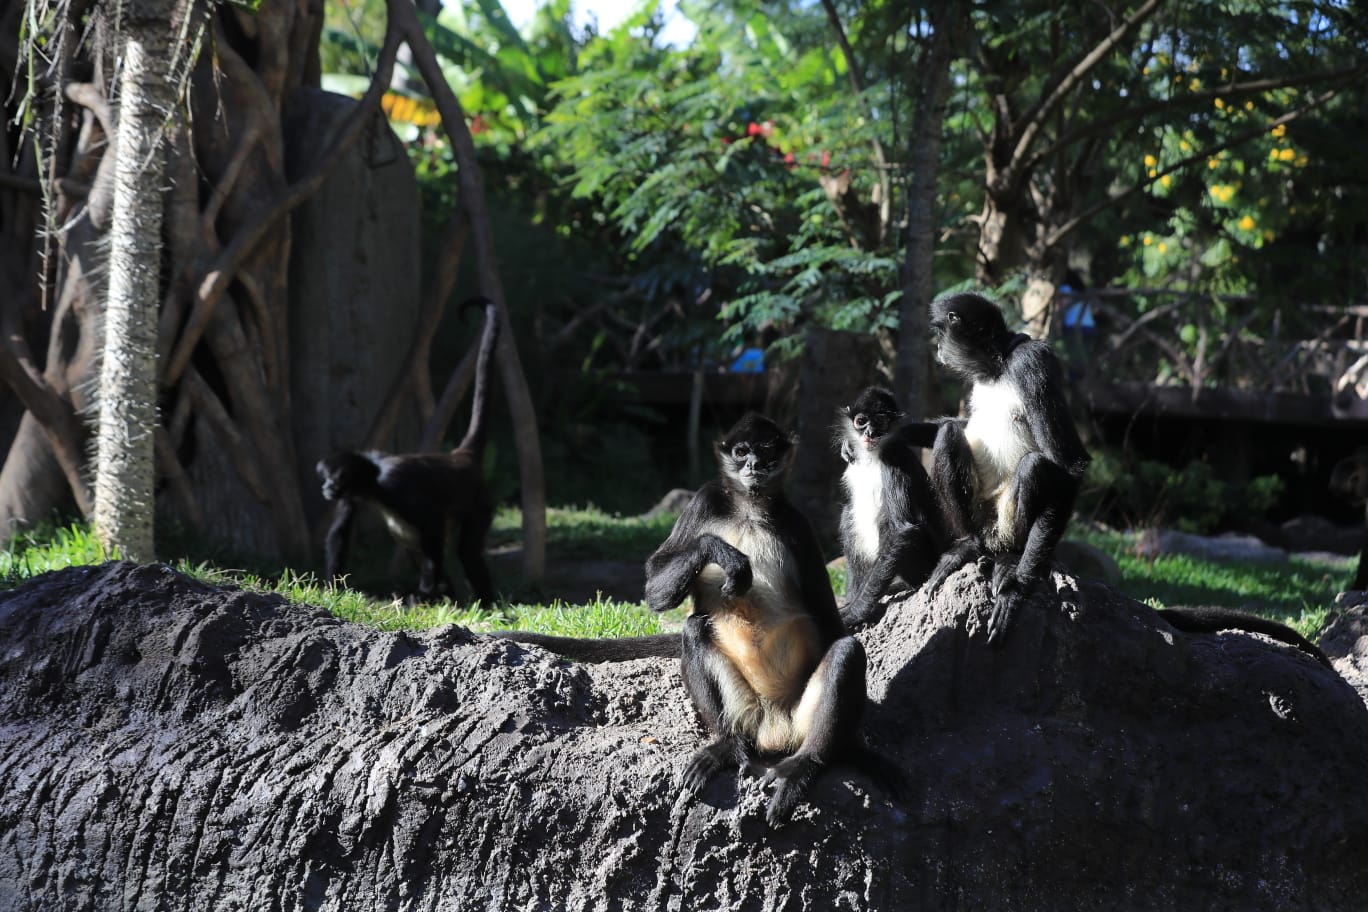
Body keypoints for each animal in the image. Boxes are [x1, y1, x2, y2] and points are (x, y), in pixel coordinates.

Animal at [316, 296, 500, 603]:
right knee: (413, 541)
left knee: (465, 551)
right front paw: (332, 589)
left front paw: (426, 589)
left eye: (334, 477)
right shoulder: (355, 494)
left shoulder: (396, 487)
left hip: (478, 503)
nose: (326, 487)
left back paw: (480, 602)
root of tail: (460, 457)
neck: (374, 475)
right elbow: (340, 531)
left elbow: (432, 520)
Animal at [643, 411, 905, 826]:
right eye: (741, 451)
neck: (751, 511)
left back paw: (804, 765)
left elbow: (829, 622)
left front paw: (857, 749)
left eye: (765, 451)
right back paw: (728, 746)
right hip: (745, 710)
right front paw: (722, 553)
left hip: (802, 717)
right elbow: (654, 585)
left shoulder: (797, 524)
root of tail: (774, 730)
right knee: (693, 628)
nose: (752, 464)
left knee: (846, 651)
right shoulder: (705, 499)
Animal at [835, 386, 949, 628]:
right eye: (861, 421)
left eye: (880, 421)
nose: (869, 433)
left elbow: (901, 530)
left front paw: (855, 612)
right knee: (847, 515)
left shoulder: (894, 457)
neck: (872, 457)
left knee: (886, 521)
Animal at [923, 292, 1092, 645]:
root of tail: (993, 538)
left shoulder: (1033, 361)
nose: (937, 348)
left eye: (940, 332)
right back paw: (969, 546)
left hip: (1007, 520)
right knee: (949, 436)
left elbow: (1070, 465)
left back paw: (1013, 558)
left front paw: (1018, 588)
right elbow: (957, 426)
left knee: (1034, 466)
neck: (997, 367)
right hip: (979, 512)